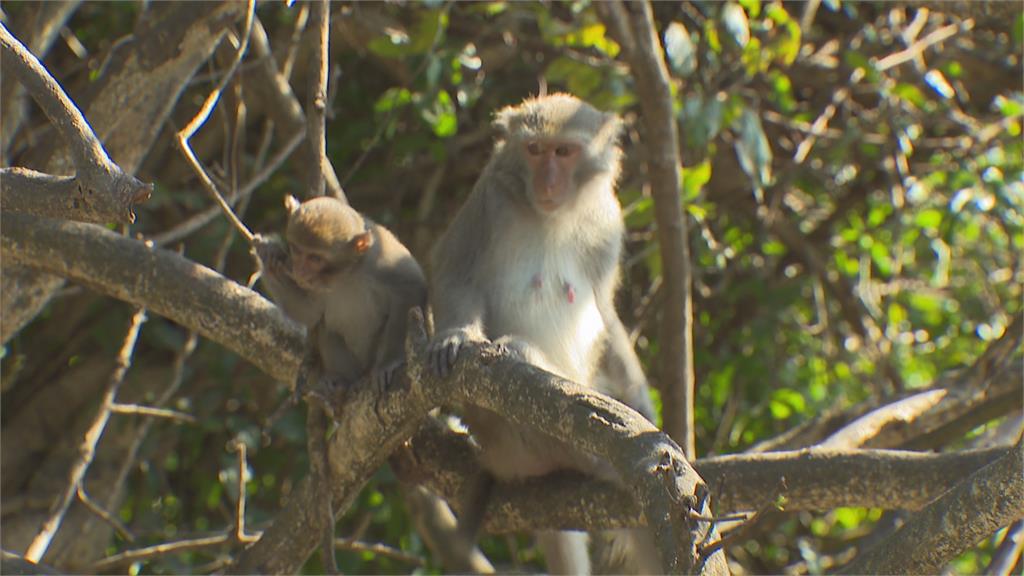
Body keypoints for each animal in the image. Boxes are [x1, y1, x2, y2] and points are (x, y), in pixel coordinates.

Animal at [428, 91, 659, 569]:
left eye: (564, 152)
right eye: (534, 150)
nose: (548, 183)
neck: (552, 217)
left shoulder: (608, 220)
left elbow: (605, 309)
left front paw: (644, 409)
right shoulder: (489, 200)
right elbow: (454, 270)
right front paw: (457, 335)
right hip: (510, 444)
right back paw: (599, 461)